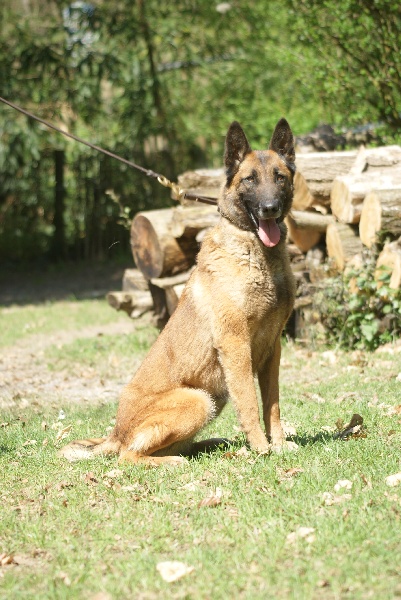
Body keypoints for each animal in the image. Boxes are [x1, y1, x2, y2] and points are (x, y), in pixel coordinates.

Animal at [59, 117, 296, 464]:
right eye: (250, 180)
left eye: (280, 178)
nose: (270, 208)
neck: (257, 254)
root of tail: (115, 433)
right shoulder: (236, 345)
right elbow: (250, 404)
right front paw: (261, 450)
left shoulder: (272, 349)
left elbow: (272, 405)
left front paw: (277, 444)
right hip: (197, 400)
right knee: (129, 456)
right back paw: (176, 461)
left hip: (210, 399)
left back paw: (211, 445)